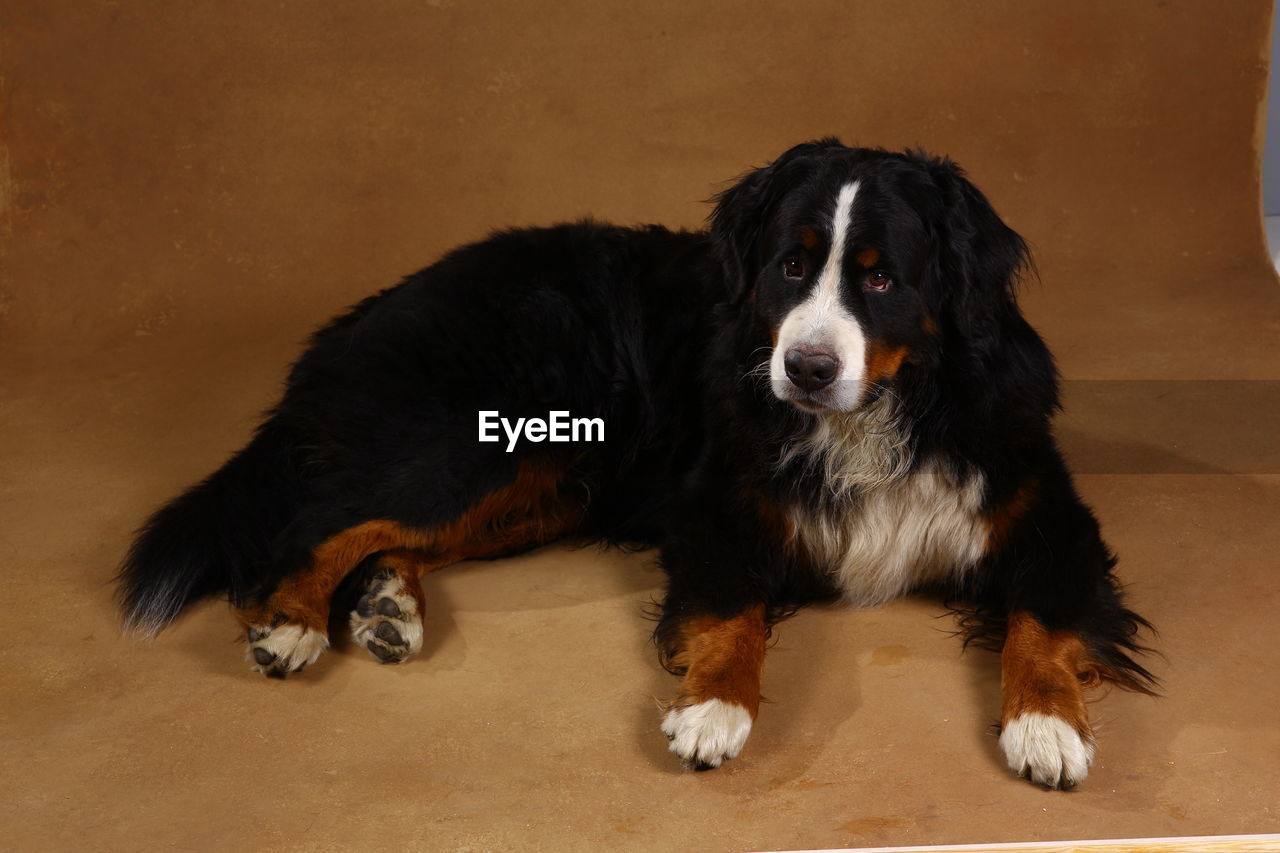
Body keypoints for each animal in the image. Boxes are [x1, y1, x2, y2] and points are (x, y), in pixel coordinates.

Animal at [122, 137, 1162, 783]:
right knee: (315, 520)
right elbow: (732, 609)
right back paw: (294, 621)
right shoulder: (716, 505)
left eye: (879, 279)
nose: (806, 367)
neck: (889, 409)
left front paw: (1046, 725)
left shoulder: (1048, 516)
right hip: (477, 442)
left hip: (545, 482)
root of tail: (365, 309)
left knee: (385, 529)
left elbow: (1043, 619)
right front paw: (713, 709)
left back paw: (385, 605)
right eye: (791, 266)